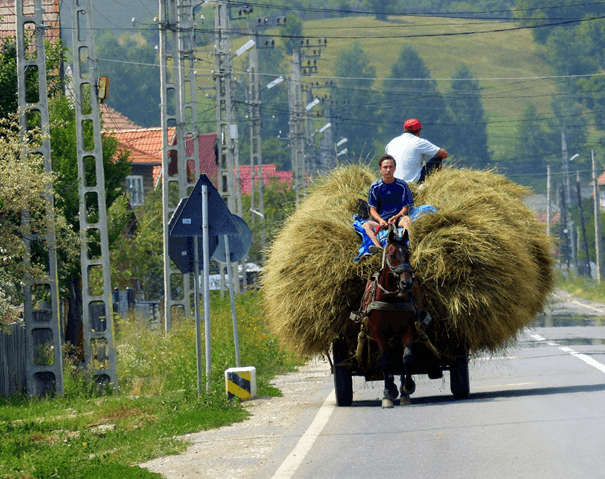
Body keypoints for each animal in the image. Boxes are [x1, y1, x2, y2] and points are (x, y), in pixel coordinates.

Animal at [356, 225, 436, 408]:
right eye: (392, 255)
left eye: (408, 253)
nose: (406, 283)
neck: (390, 298)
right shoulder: (377, 331)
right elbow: (386, 360)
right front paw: (388, 393)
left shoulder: (408, 328)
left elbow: (406, 358)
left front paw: (407, 387)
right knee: (390, 359)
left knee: (399, 359)